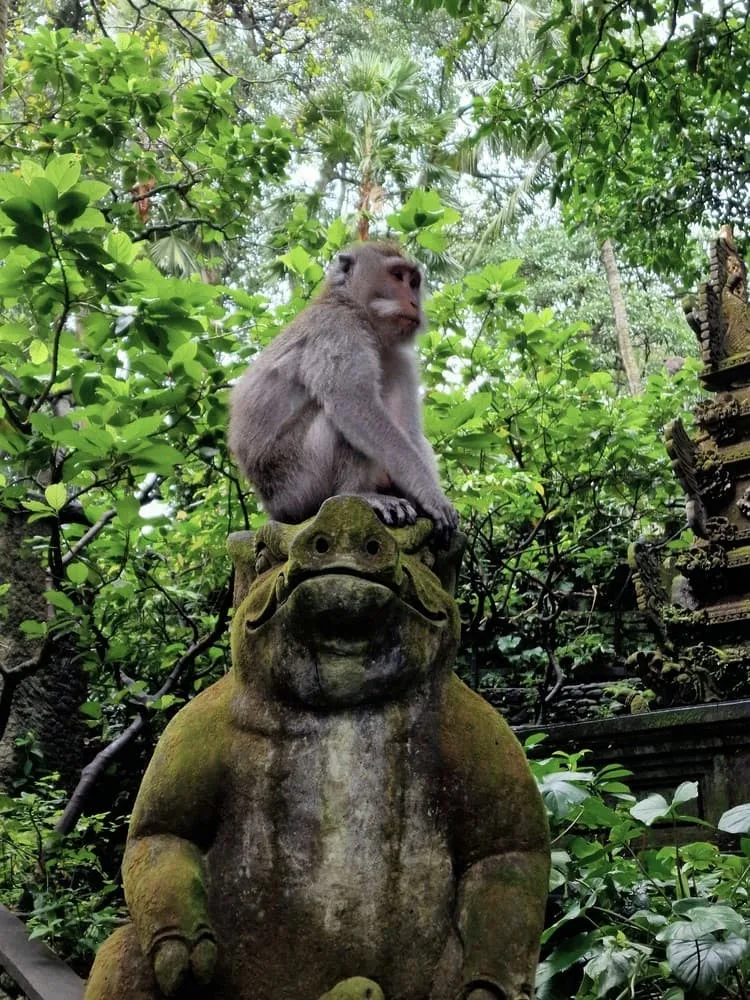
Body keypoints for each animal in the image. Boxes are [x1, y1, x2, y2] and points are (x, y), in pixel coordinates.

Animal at [228, 241, 459, 545]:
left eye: (413, 282)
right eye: (397, 276)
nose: (414, 303)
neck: (357, 311)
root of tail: (272, 511)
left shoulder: (399, 358)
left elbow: (408, 430)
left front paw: (426, 496)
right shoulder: (337, 329)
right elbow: (353, 404)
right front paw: (430, 494)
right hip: (293, 485)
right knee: (337, 419)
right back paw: (358, 495)